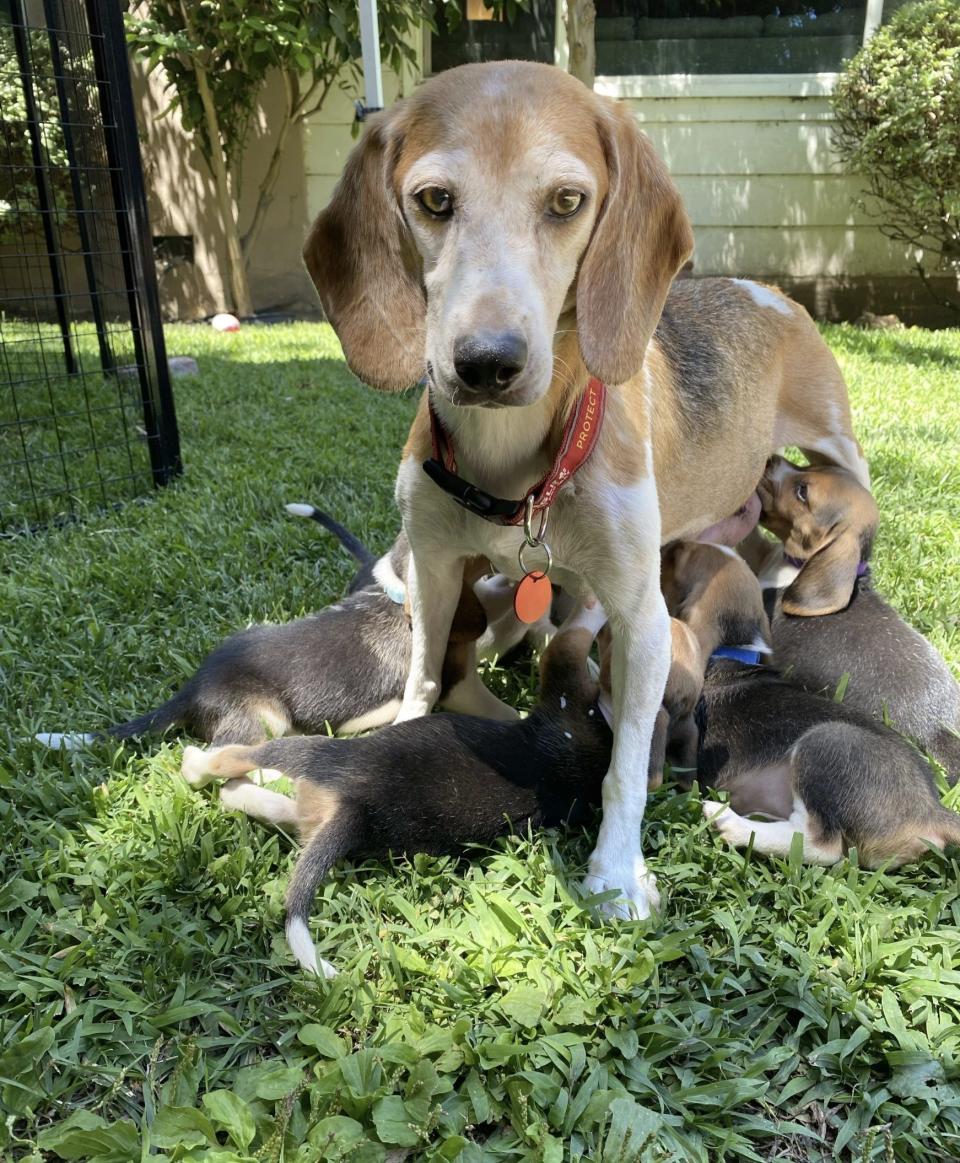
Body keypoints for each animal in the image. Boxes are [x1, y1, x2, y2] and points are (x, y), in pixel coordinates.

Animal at [179, 600, 609, 972]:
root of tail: (356, 808)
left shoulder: (565, 679)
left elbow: (573, 636)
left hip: (310, 751)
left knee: (231, 763)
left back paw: (196, 765)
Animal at [304, 61, 870, 916]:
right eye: (434, 200)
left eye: (567, 202)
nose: (486, 362)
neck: (512, 460)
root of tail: (760, 287)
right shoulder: (433, 573)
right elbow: (426, 672)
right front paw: (407, 730)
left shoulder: (641, 617)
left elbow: (625, 766)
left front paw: (616, 871)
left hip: (839, 448)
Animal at [660, 541, 958, 865]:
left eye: (682, 558)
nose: (672, 544)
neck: (736, 650)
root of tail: (932, 811)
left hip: (826, 742)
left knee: (821, 846)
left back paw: (729, 823)